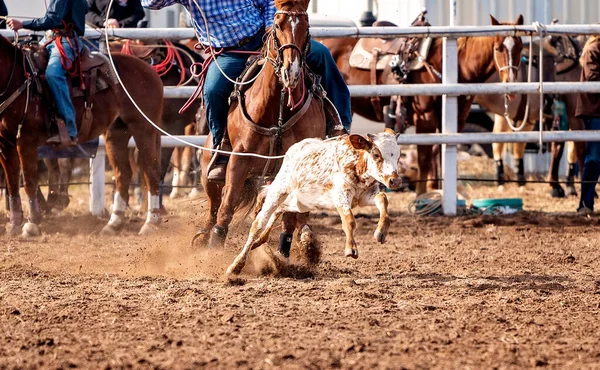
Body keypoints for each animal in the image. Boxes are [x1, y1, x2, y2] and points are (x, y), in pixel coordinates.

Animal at [0, 35, 164, 237]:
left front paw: (31, 225)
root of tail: (146, 67)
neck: (17, 80)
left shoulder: (26, 142)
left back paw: (151, 222)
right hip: (116, 132)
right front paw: (14, 225)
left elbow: (29, 182)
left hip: (143, 128)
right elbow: (12, 183)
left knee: (151, 170)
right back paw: (113, 223)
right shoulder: (5, 144)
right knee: (123, 174)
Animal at [227, 129, 406, 276]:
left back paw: (260, 241)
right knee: (258, 223)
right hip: (279, 190)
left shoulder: (366, 195)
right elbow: (349, 221)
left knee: (279, 210)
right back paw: (235, 266)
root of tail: (293, 149)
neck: (355, 163)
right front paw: (351, 249)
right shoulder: (341, 195)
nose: (395, 181)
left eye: (398, 155)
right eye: (376, 155)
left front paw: (380, 232)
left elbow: (383, 199)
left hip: (300, 201)